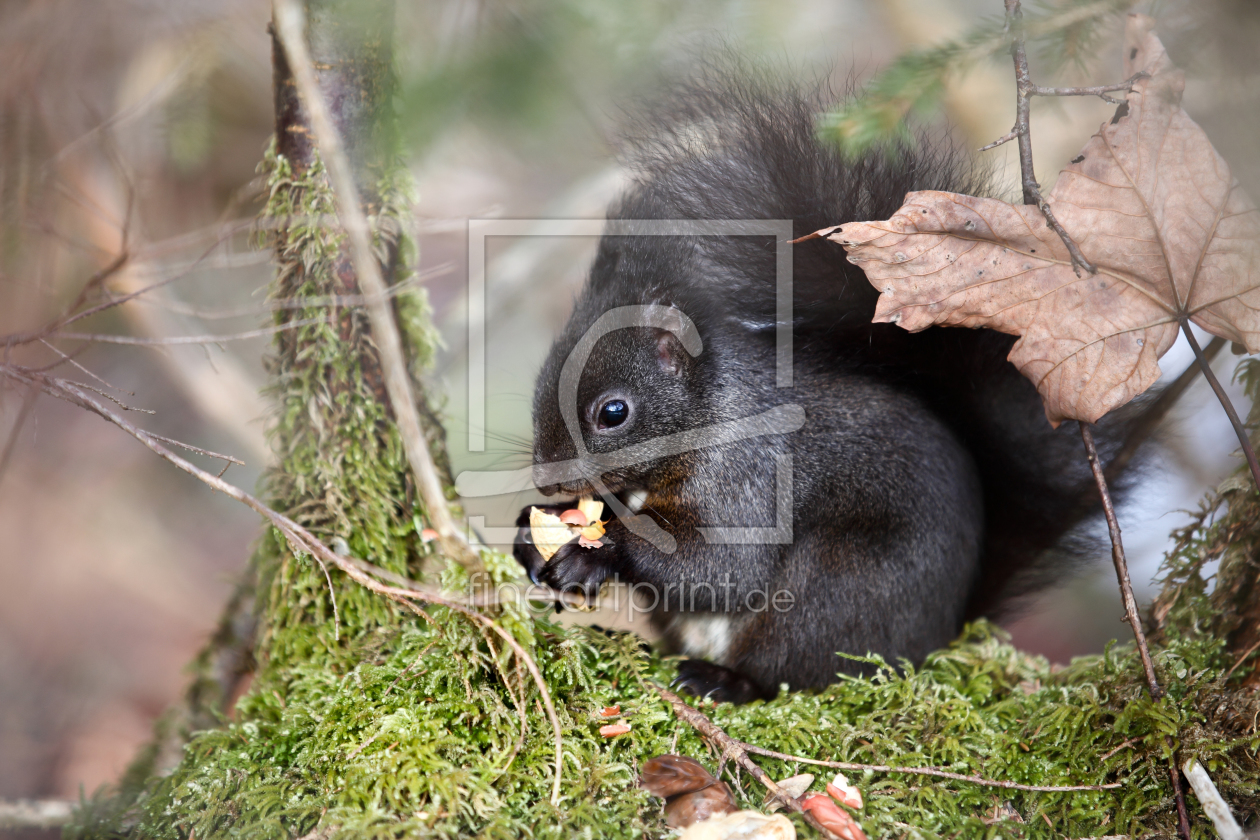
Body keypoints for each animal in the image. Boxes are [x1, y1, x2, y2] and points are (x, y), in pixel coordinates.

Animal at [511, 70, 1144, 705]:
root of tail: (938, 633)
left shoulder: (750, 476)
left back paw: (725, 680)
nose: (547, 478)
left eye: (613, 412)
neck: (709, 413)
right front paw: (533, 533)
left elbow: (719, 565)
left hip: (834, 592)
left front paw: (598, 550)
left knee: (788, 669)